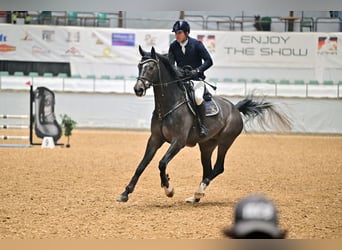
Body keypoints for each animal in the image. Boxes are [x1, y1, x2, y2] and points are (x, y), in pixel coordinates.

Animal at [116, 46, 290, 203]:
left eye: (151, 67)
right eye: (139, 66)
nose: (138, 89)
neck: (168, 105)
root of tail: (235, 108)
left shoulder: (178, 141)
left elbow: (162, 163)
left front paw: (168, 188)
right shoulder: (155, 139)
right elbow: (141, 165)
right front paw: (125, 193)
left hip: (225, 141)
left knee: (218, 168)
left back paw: (199, 192)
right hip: (206, 146)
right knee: (208, 170)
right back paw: (195, 197)